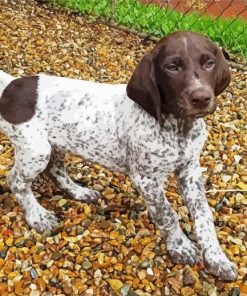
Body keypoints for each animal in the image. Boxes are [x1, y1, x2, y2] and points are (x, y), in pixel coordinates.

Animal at [0, 31, 236, 280]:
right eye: (172, 67)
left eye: (209, 63)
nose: (201, 98)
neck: (178, 127)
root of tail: (11, 86)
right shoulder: (146, 179)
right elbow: (167, 214)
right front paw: (180, 246)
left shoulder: (190, 171)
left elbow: (204, 216)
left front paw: (217, 258)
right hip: (36, 149)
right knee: (16, 181)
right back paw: (37, 216)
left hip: (53, 144)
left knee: (55, 171)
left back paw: (79, 192)